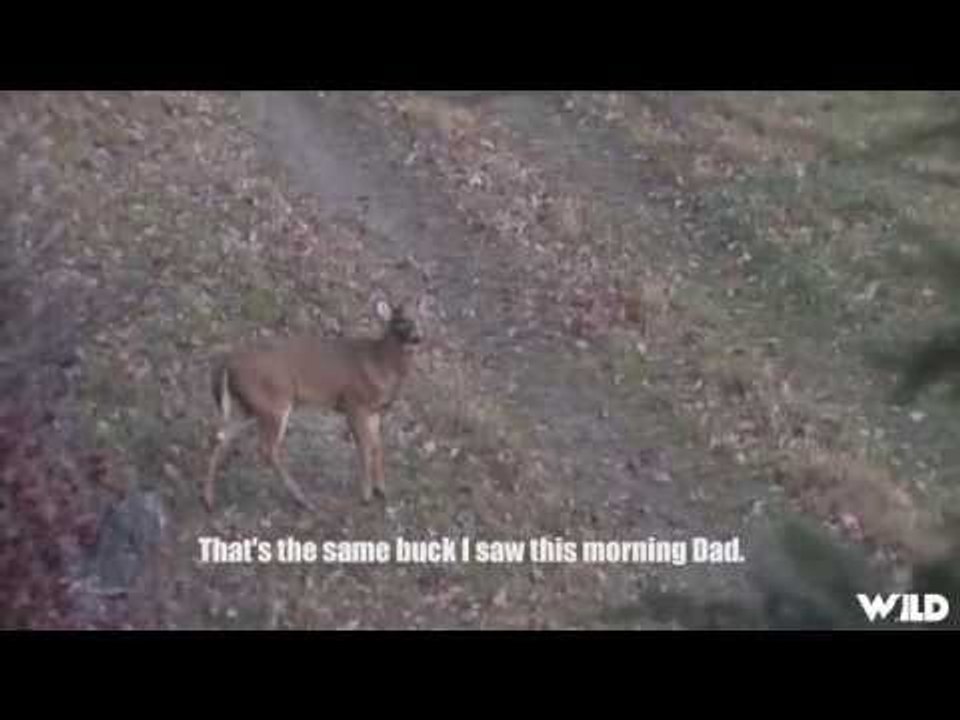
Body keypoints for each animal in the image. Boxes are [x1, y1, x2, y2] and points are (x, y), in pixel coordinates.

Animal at [203, 298, 423, 512]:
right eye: (400, 320)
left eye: (420, 318)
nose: (418, 338)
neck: (379, 365)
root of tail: (228, 364)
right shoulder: (354, 403)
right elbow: (365, 446)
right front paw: (367, 495)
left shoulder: (374, 411)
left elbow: (378, 446)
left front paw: (382, 491)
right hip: (274, 401)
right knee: (267, 449)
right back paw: (303, 500)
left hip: (248, 407)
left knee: (221, 436)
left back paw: (209, 500)